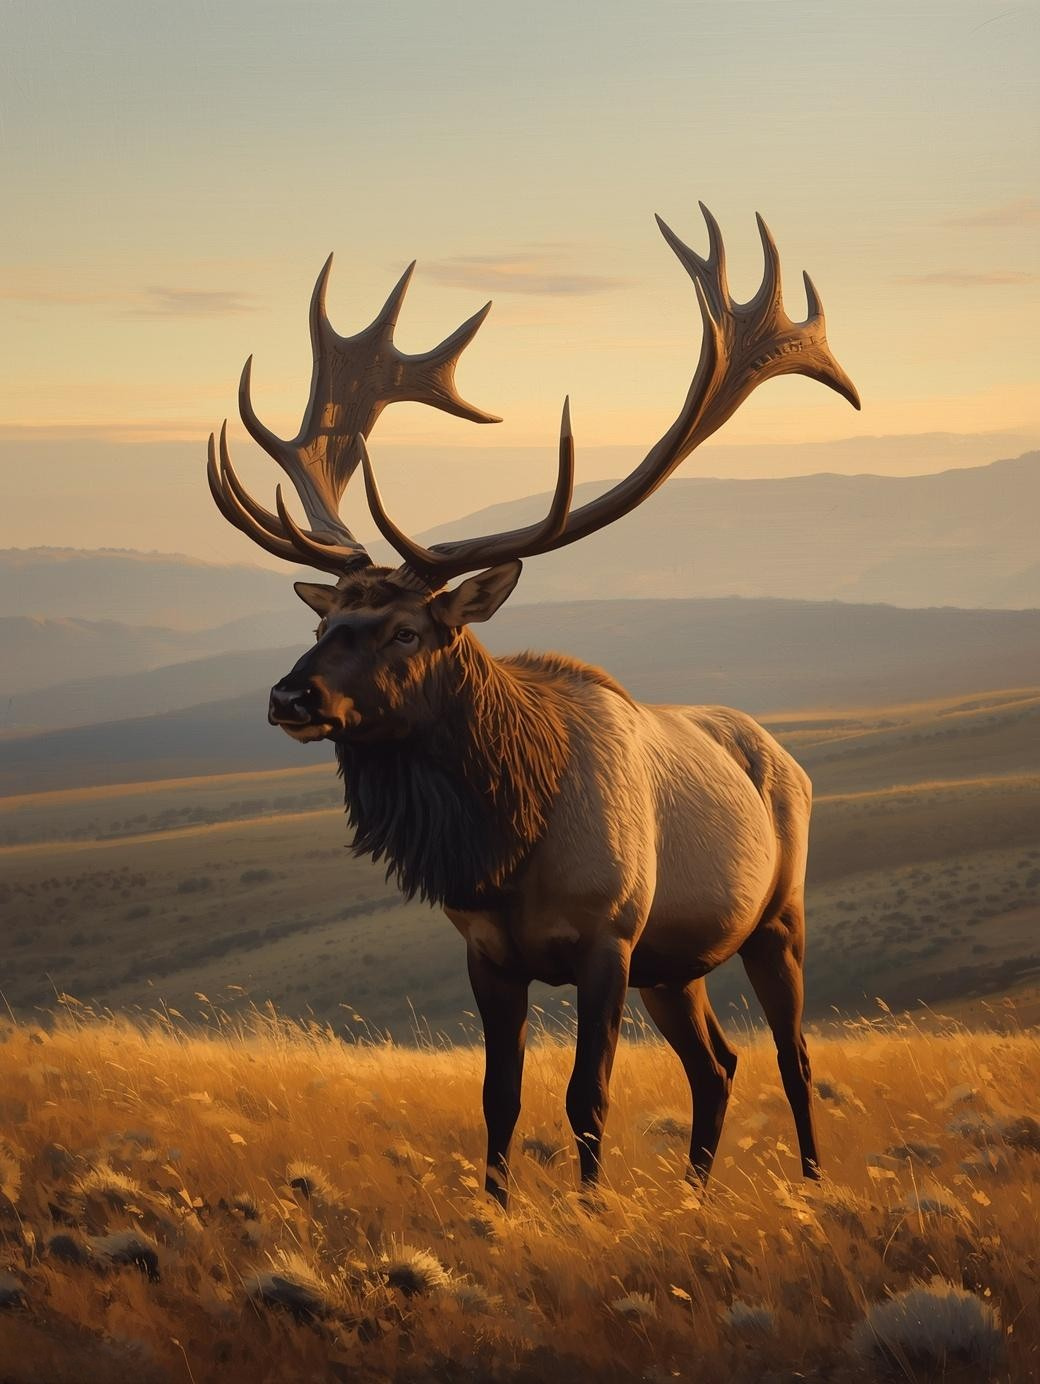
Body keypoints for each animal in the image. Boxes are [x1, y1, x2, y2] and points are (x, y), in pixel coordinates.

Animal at [207, 203, 860, 1207]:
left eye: (407, 631)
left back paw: (812, 1185)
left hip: (775, 919)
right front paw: (498, 1208)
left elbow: (587, 1097)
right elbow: (500, 1097)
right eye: (326, 622)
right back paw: (693, 1192)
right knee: (718, 1065)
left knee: (792, 1057)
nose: (289, 694)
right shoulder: (489, 953)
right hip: (676, 965)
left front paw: (590, 1210)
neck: (511, 843)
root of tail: (782, 754)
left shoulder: (608, 940)